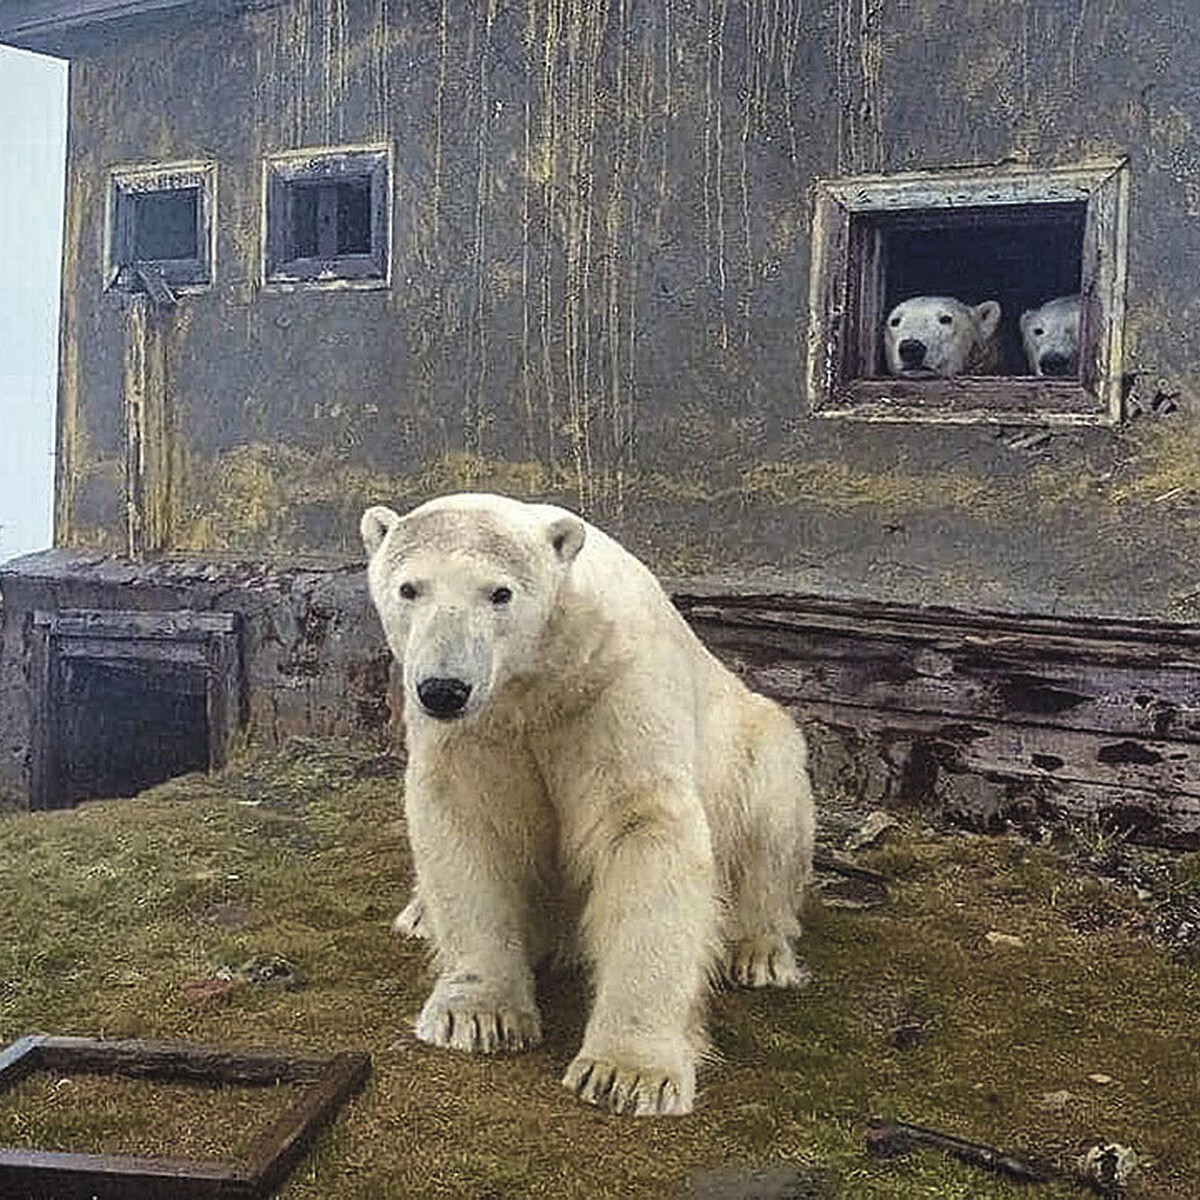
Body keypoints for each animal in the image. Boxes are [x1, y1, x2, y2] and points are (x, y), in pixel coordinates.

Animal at [360, 494, 816, 1113]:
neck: (539, 681)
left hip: (756, 743)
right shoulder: (478, 732)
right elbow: (468, 825)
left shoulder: (614, 691)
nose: (444, 689)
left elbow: (643, 827)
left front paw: (628, 1073)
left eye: (499, 593)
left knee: (771, 817)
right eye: (409, 588)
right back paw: (419, 916)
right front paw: (476, 1017)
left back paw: (758, 951)